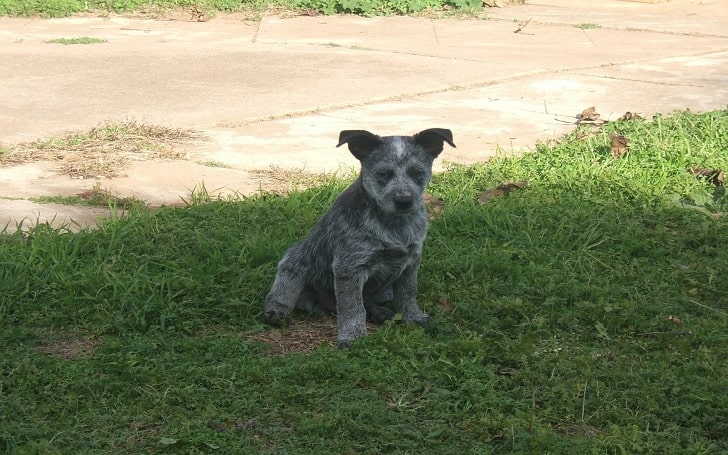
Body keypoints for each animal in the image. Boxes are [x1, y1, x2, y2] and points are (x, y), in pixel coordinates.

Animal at [262, 128, 456, 350]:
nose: (404, 201)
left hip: (385, 290)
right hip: (294, 262)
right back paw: (276, 312)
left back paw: (379, 312)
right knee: (281, 293)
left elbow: (407, 293)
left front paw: (413, 318)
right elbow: (353, 307)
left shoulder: (411, 261)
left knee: (370, 301)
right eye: (382, 173)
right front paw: (353, 337)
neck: (394, 224)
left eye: (417, 172)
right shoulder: (349, 267)